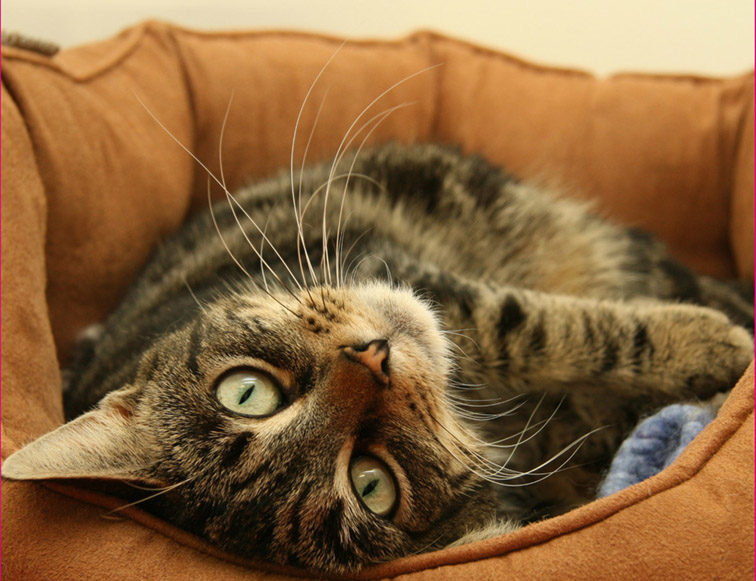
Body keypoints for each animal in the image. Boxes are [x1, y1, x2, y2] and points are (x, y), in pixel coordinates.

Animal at [2, 139, 752, 572]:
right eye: (373, 485)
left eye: (246, 392)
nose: (372, 359)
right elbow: (535, 330)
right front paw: (716, 350)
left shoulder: (406, 273)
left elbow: (532, 323)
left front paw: (710, 342)